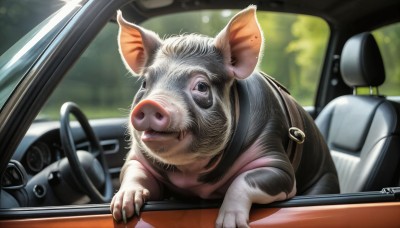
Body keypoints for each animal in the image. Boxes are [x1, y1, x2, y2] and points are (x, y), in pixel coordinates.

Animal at [111, 5, 340, 228]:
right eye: (145, 83)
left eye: (201, 86)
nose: (151, 104)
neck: (193, 175)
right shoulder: (138, 158)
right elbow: (133, 172)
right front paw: (121, 210)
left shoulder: (275, 159)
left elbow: (245, 180)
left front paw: (230, 223)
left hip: (325, 179)